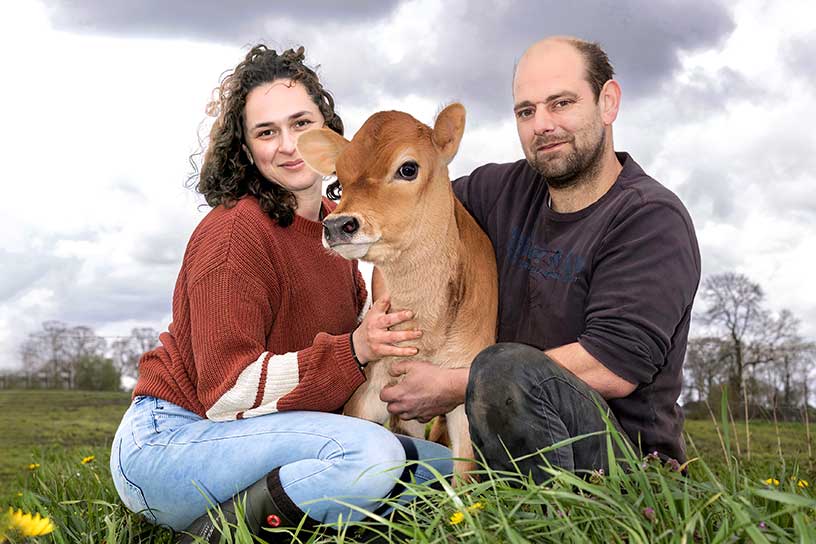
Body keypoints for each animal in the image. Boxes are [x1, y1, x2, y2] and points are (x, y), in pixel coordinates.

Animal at [294, 104, 498, 478]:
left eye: (408, 168)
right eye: (338, 182)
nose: (337, 225)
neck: (425, 333)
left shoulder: (459, 393)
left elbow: (465, 476)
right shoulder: (369, 396)